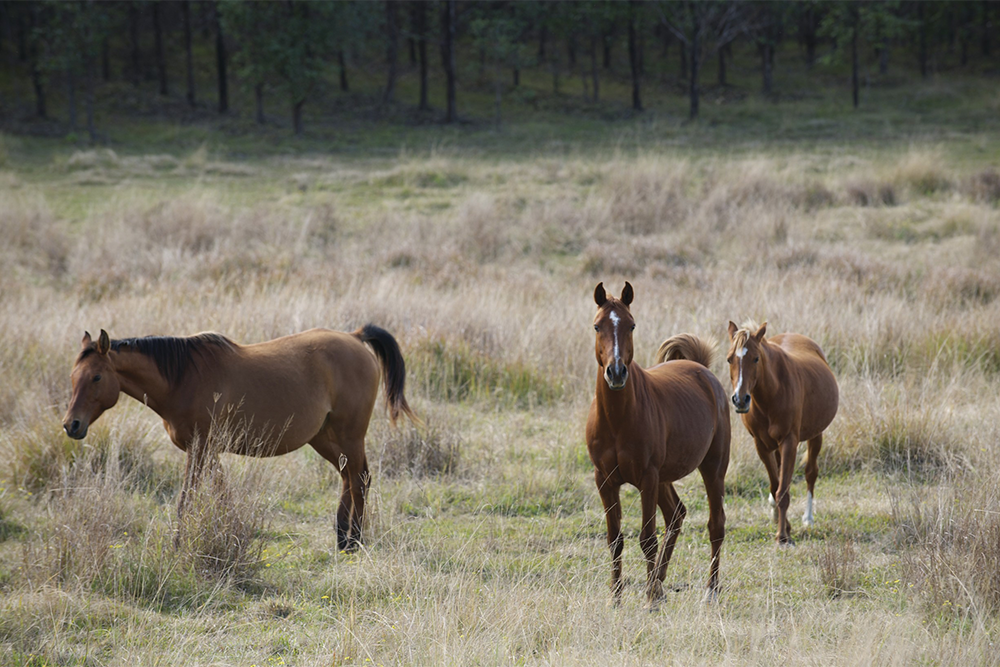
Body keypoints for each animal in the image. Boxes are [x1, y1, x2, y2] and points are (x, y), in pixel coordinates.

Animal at [62, 324, 416, 552]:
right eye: (73, 376)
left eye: (96, 377)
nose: (71, 425)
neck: (182, 379)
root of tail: (356, 338)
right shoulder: (210, 452)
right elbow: (223, 496)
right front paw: (231, 534)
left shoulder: (199, 449)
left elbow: (186, 498)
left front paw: (178, 545)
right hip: (324, 438)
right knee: (348, 477)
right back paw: (343, 537)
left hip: (349, 434)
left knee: (360, 479)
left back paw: (354, 541)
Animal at [584, 282, 732, 604]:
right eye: (597, 326)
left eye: (631, 325)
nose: (616, 372)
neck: (617, 419)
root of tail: (701, 369)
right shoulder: (605, 480)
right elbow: (615, 539)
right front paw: (616, 598)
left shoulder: (647, 478)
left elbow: (647, 539)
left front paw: (650, 600)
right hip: (665, 477)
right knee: (676, 513)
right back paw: (660, 583)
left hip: (712, 468)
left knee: (716, 525)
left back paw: (709, 590)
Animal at [728, 320, 836, 544]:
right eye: (729, 359)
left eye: (756, 358)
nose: (740, 400)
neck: (771, 395)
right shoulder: (761, 445)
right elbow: (775, 484)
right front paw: (783, 525)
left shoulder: (789, 442)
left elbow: (783, 491)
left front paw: (782, 536)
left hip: (816, 435)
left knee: (811, 473)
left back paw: (808, 518)